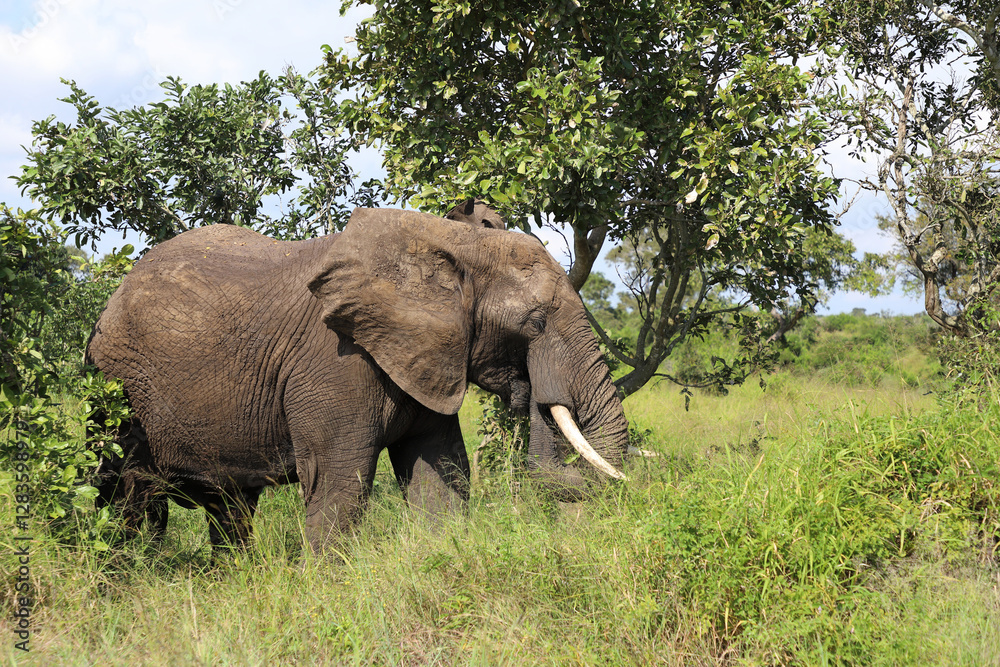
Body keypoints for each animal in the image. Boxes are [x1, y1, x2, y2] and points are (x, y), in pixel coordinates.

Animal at [86, 207, 630, 552]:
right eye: (535, 322)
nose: (532, 389)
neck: (450, 245)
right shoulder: (336, 361)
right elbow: (339, 483)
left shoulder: (421, 358)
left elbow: (442, 476)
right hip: (115, 386)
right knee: (129, 495)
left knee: (229, 508)